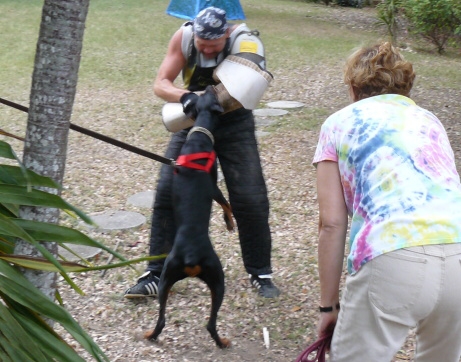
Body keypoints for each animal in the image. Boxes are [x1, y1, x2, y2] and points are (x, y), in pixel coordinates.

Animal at [143, 87, 230, 348]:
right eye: (211, 95)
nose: (209, 86)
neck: (198, 136)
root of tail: (191, 257)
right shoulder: (214, 186)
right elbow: (227, 204)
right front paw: (230, 223)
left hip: (168, 280)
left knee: (162, 320)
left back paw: (150, 335)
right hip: (218, 277)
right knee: (210, 324)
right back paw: (223, 341)